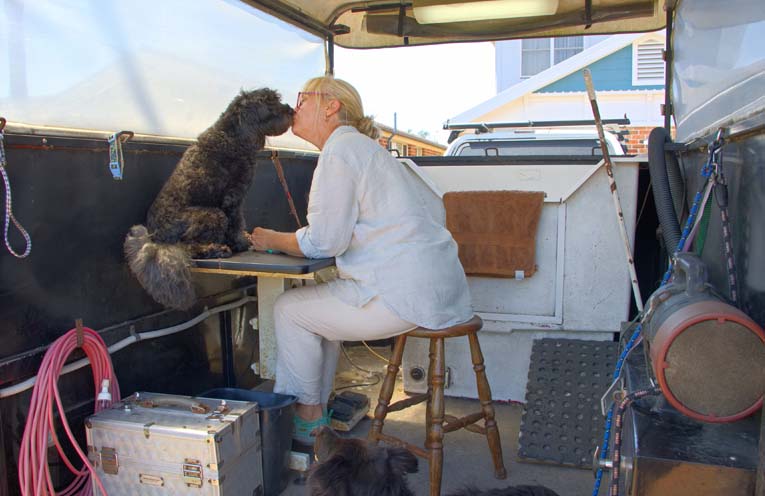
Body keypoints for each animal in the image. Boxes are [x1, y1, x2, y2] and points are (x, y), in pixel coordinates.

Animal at [124, 88, 293, 310]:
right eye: (271, 103)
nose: (291, 110)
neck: (232, 135)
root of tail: (155, 237)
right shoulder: (233, 197)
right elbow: (236, 223)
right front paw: (241, 243)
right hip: (211, 214)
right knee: (189, 246)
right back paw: (216, 248)